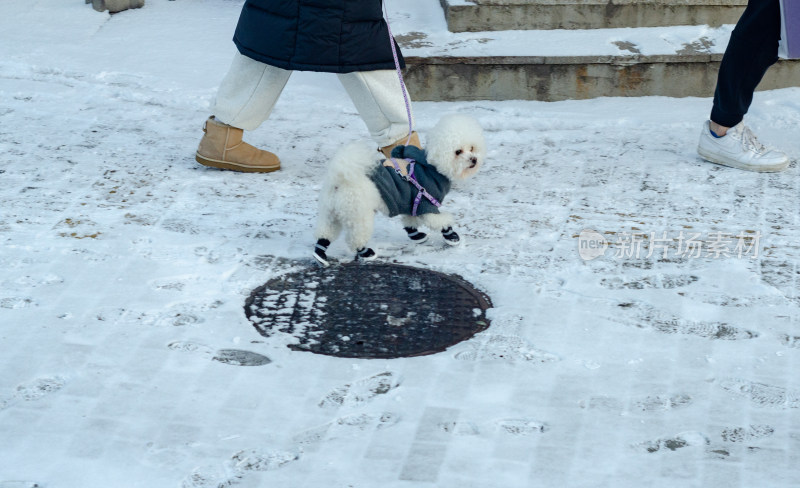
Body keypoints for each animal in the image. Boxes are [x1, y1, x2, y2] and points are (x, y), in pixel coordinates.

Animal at [312, 113, 488, 266]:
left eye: (472, 148)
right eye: (458, 152)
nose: (474, 159)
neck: (433, 166)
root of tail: (340, 179)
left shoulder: (411, 203)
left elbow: (410, 221)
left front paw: (416, 235)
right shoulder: (426, 202)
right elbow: (440, 221)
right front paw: (451, 236)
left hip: (331, 212)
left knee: (326, 233)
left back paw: (320, 254)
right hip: (359, 214)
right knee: (356, 238)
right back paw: (366, 252)